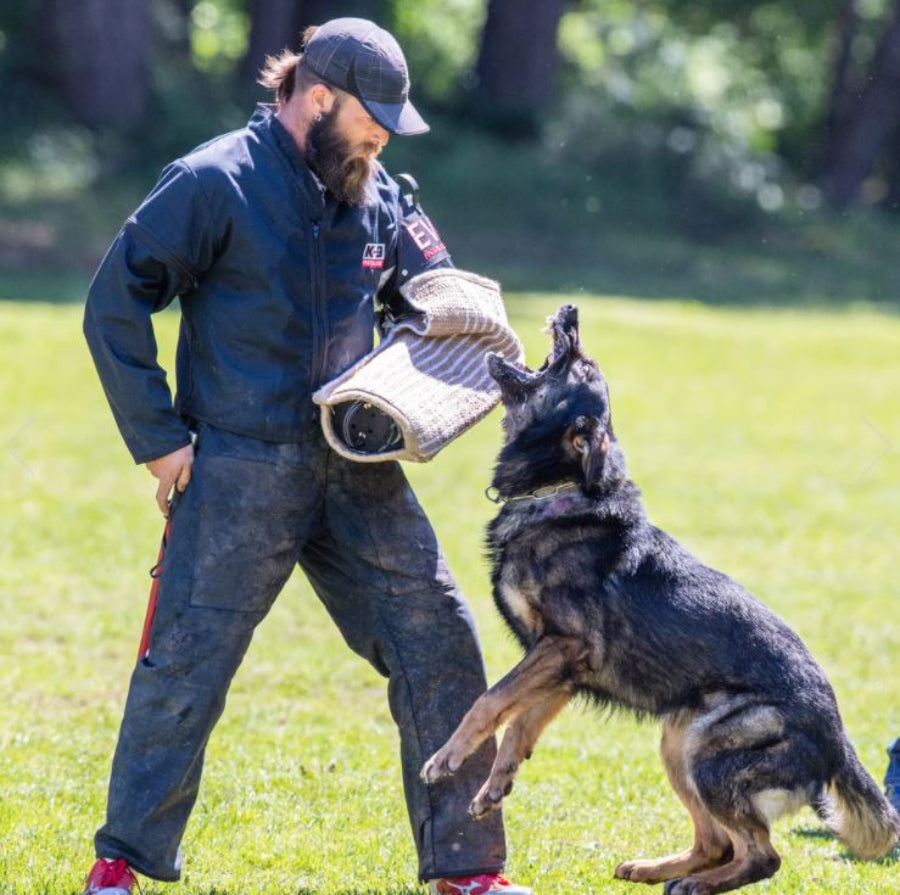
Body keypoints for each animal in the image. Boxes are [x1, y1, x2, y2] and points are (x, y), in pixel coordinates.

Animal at [424, 308, 900, 895]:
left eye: (583, 366)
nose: (571, 313)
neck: (560, 491)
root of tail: (835, 737)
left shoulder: (563, 647)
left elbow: (489, 701)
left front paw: (446, 758)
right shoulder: (562, 671)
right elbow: (517, 728)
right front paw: (494, 786)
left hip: (708, 755)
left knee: (762, 854)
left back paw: (695, 883)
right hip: (678, 743)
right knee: (716, 842)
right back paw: (658, 869)